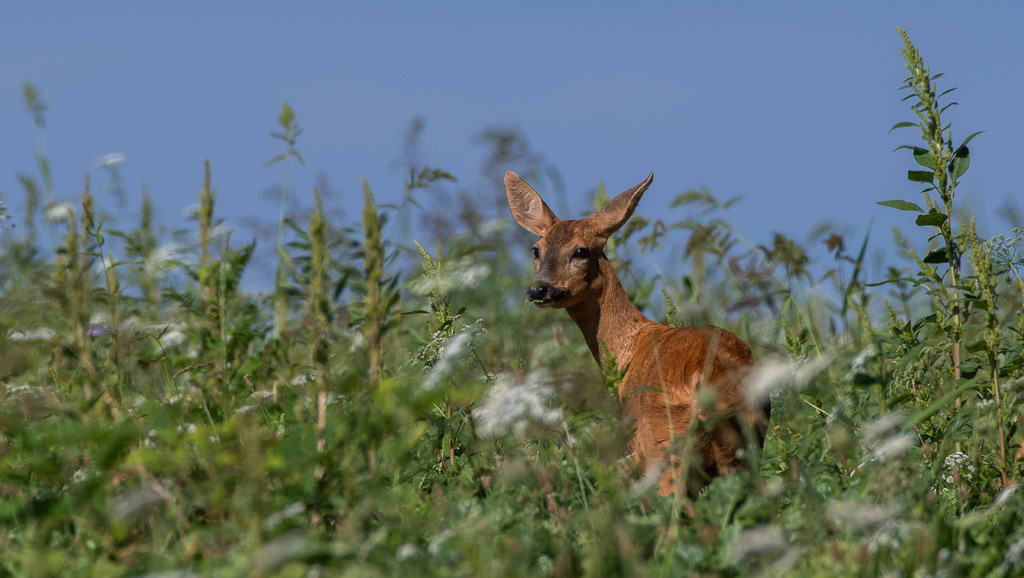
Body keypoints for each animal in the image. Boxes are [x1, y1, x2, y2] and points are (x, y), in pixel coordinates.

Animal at [503, 170, 770, 496]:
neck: (628, 348)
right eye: (536, 250)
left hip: (664, 442)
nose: (539, 289)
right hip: (744, 445)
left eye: (581, 251)